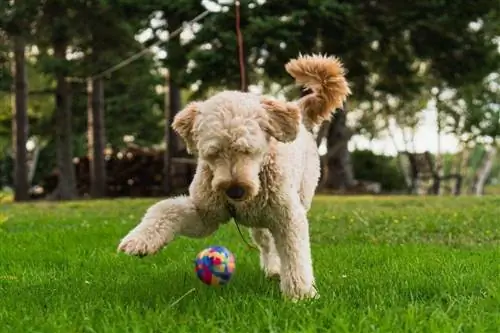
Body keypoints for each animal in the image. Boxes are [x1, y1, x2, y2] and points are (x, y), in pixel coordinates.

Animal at [118, 53, 350, 298]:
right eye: (213, 153)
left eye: (248, 150)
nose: (235, 190)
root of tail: (297, 109)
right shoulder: (205, 215)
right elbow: (166, 209)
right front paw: (140, 240)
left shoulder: (288, 217)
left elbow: (294, 254)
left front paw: (300, 294)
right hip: (259, 223)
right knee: (266, 243)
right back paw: (273, 268)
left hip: (299, 196)